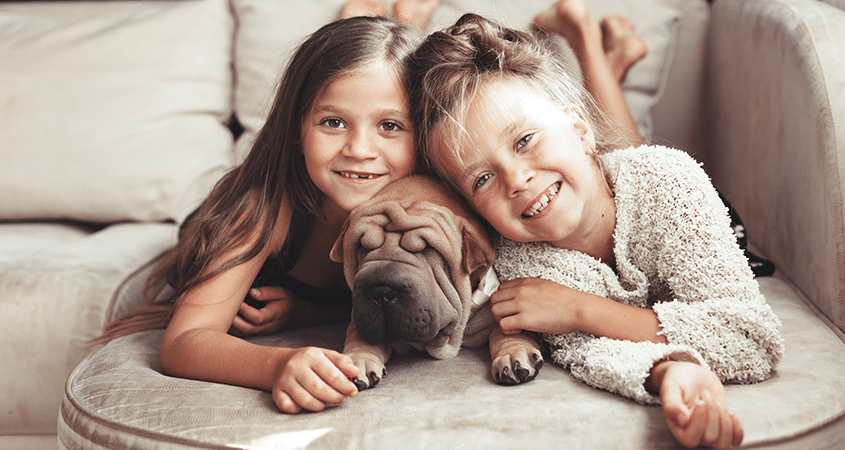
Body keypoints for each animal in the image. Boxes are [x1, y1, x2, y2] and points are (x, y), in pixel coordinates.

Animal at [326, 174, 544, 388]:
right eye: (361, 247)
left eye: (427, 249)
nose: (381, 290)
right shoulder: (361, 315)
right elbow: (359, 335)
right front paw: (357, 361)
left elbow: (507, 328)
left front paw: (513, 353)